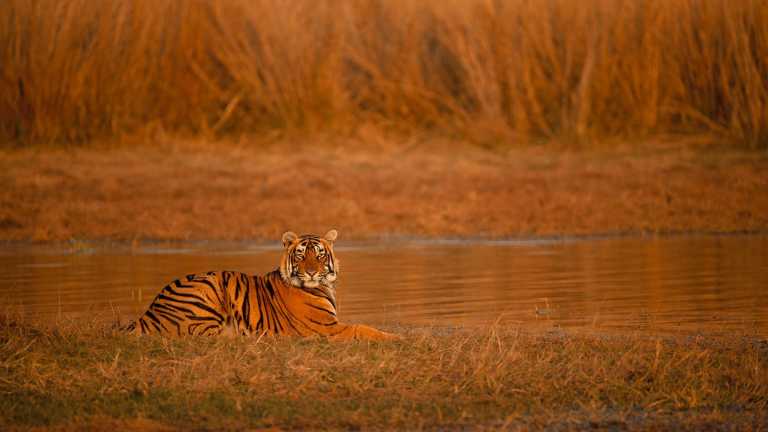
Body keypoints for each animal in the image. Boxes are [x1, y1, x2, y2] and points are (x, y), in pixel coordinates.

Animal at [124, 230, 398, 341]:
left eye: (319, 255)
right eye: (301, 255)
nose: (311, 272)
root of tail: (149, 312)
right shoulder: (327, 329)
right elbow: (364, 329)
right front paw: (397, 338)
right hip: (207, 288)